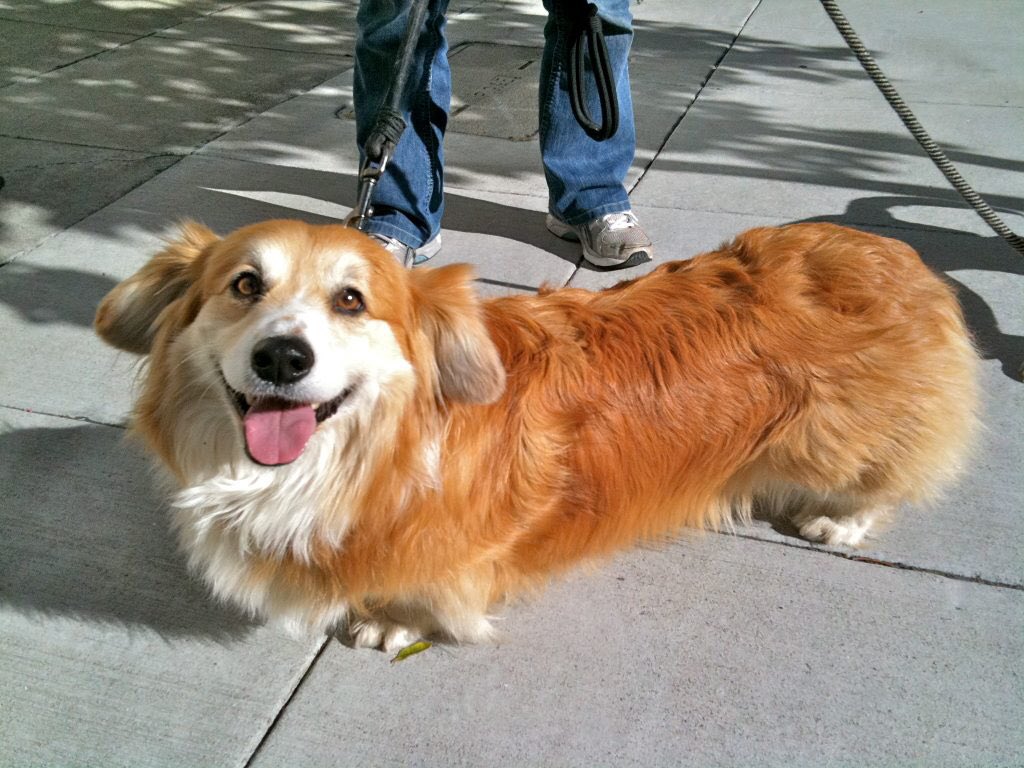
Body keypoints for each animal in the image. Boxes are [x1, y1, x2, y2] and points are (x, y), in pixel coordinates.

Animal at [97, 219, 983, 651]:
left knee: (885, 477)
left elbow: (426, 593)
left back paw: (840, 517)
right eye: (244, 285)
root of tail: (896, 253)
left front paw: (391, 622)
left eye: (352, 301)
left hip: (843, 436)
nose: (282, 357)